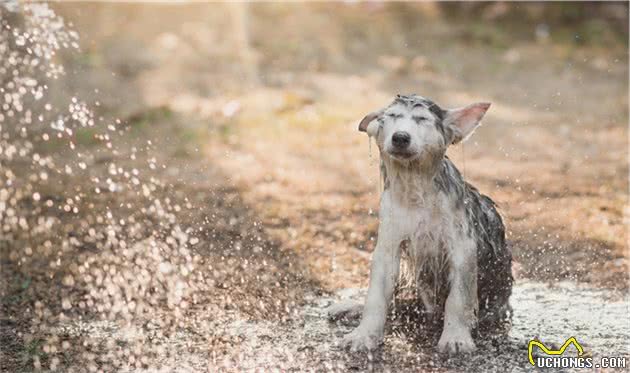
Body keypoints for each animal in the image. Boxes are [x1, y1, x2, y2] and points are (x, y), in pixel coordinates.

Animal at [328, 94, 516, 354]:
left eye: (422, 119)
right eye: (392, 116)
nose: (400, 137)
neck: (417, 193)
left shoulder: (462, 247)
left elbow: (458, 298)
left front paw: (456, 337)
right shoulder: (388, 246)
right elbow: (376, 296)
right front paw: (364, 334)